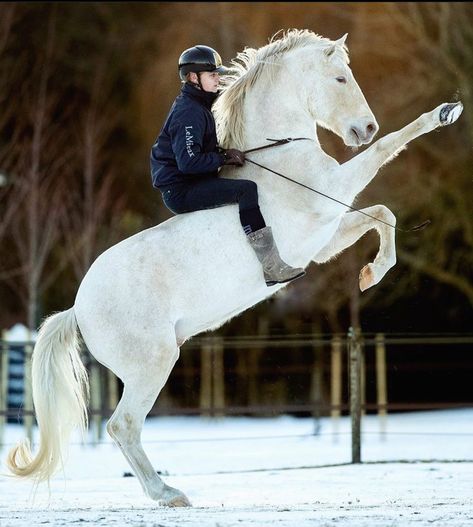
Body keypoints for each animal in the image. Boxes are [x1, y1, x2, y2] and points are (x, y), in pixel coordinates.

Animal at [6, 28, 460, 508]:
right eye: (339, 78)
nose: (365, 128)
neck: (281, 159)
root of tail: (79, 309)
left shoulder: (326, 238)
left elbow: (384, 216)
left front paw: (371, 274)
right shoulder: (334, 195)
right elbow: (390, 150)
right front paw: (442, 114)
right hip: (152, 365)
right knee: (122, 426)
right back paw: (169, 494)